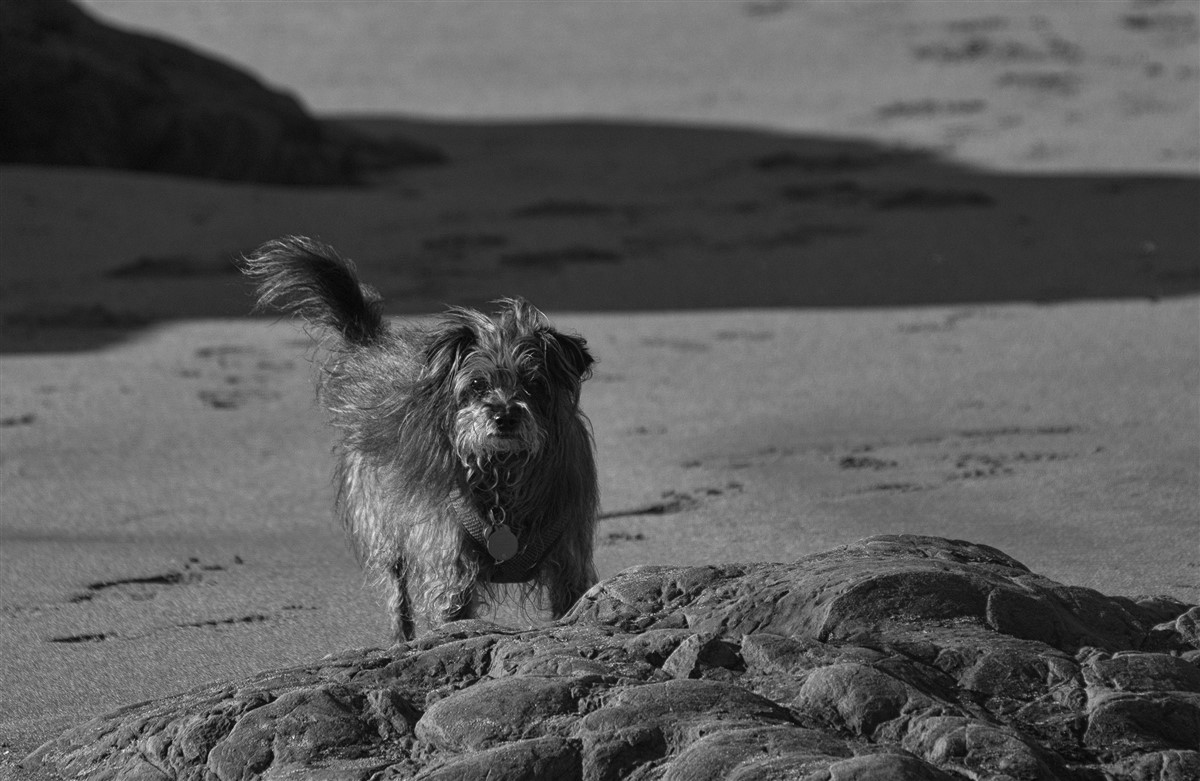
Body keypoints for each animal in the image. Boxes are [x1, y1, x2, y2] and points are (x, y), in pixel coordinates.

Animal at [240, 236, 598, 640]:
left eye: (534, 384)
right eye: (477, 385)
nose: (504, 416)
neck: (503, 473)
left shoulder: (569, 562)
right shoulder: (452, 569)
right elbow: (450, 614)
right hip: (381, 524)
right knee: (396, 592)